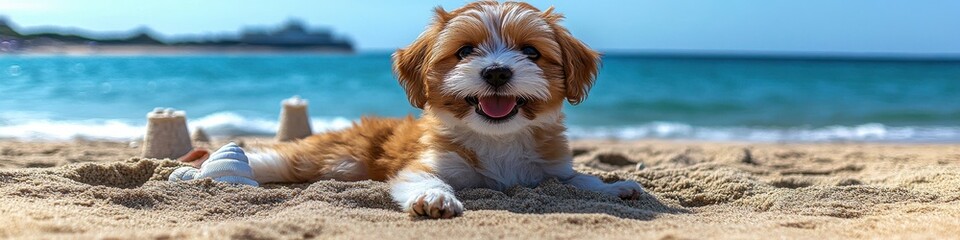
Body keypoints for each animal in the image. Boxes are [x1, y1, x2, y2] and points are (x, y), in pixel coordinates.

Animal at [194, 0, 640, 218]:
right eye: (465, 50)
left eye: (531, 51)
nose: (496, 71)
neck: (499, 140)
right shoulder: (425, 163)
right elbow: (424, 178)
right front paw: (434, 197)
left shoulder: (550, 169)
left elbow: (578, 179)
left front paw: (613, 186)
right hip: (328, 159)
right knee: (272, 159)